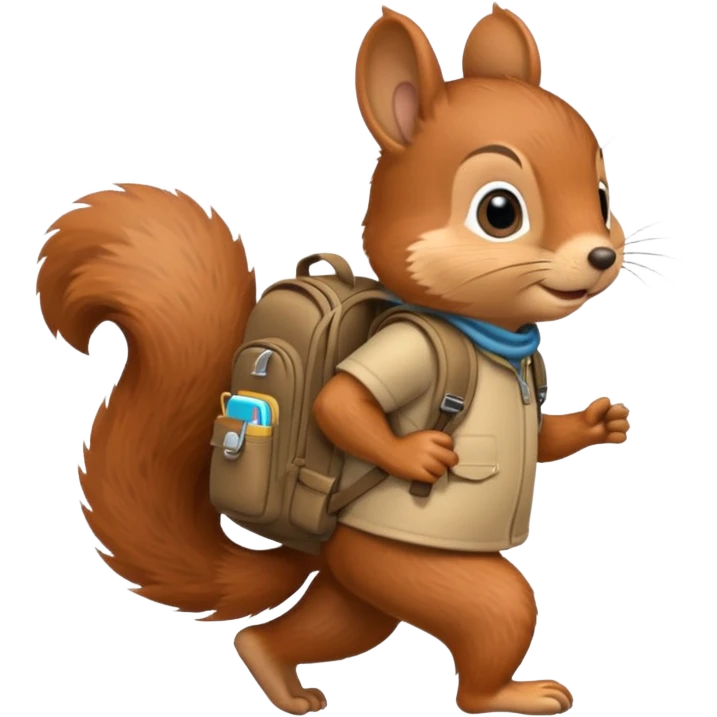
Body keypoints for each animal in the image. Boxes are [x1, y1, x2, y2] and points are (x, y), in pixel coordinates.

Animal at [36, 4, 632, 716]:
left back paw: (271, 667)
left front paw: (601, 422)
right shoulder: (407, 346)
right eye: (499, 211)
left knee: (338, 621)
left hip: (361, 585)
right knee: (492, 619)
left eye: (603, 197)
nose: (602, 255)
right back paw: (509, 694)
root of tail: (324, 544)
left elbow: (543, 437)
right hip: (404, 566)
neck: (491, 338)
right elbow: (341, 403)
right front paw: (420, 454)